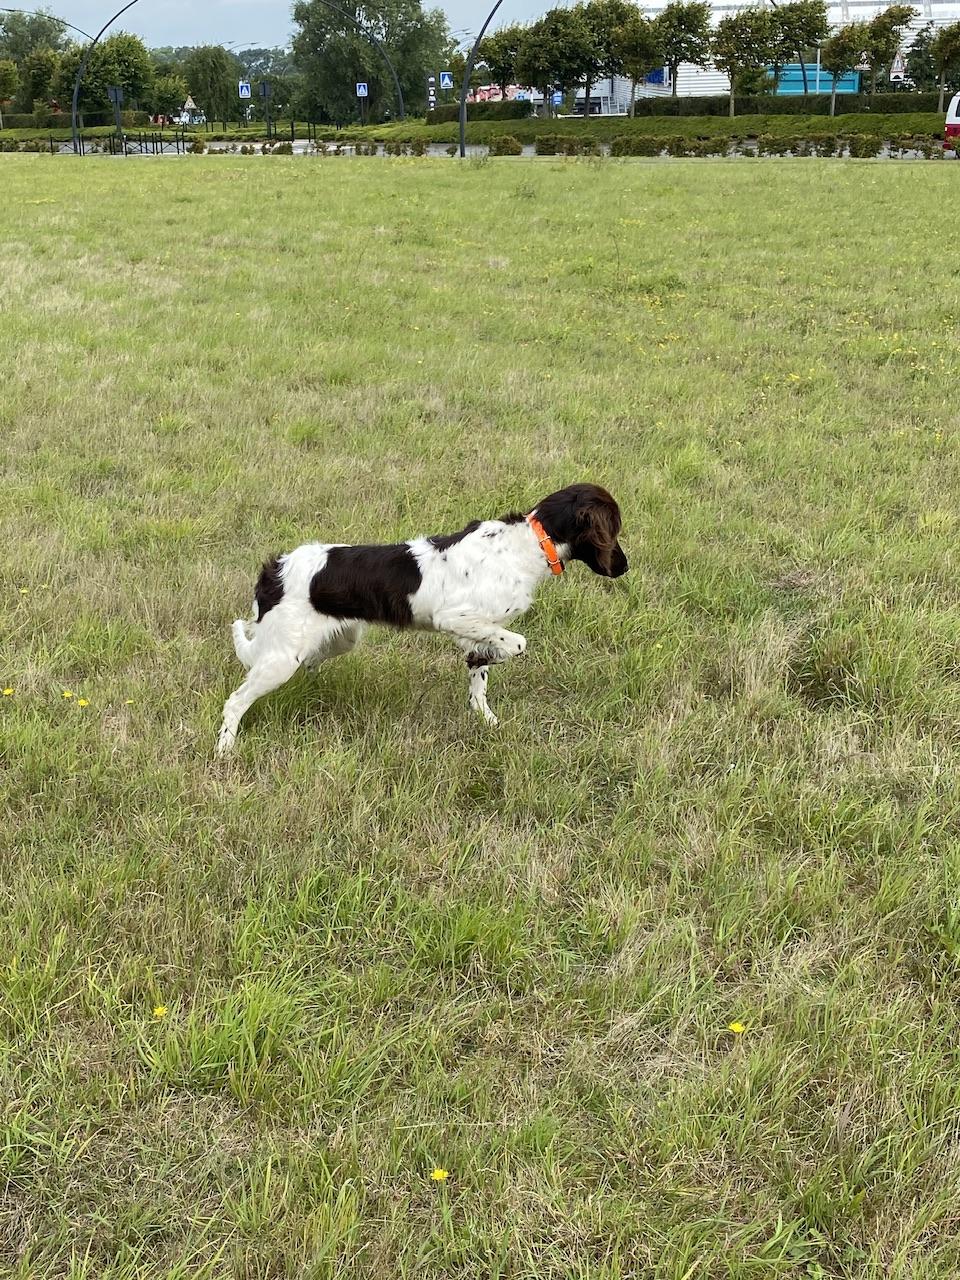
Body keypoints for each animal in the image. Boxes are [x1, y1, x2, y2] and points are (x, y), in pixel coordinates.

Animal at [216, 483, 632, 752]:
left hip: (335, 640)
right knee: (235, 701)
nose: (624, 567)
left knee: (309, 664)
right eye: (614, 529)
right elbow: (516, 644)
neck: (528, 544)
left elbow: (480, 678)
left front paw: (486, 718)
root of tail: (275, 570)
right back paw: (225, 749)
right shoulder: (455, 617)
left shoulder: (478, 630)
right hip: (281, 658)